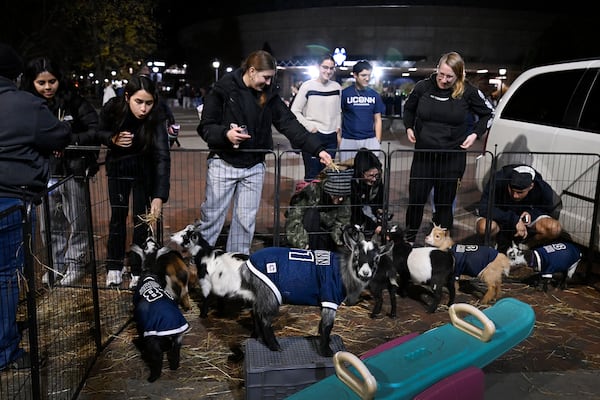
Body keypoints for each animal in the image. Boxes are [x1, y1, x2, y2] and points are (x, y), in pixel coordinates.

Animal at [171, 223, 392, 358]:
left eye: (376, 259)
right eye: (357, 255)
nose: (365, 272)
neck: (342, 271)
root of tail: (246, 265)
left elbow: (322, 326)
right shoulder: (330, 298)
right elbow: (327, 327)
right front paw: (326, 352)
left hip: (261, 295)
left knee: (257, 315)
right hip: (270, 294)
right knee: (264, 319)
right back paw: (274, 346)